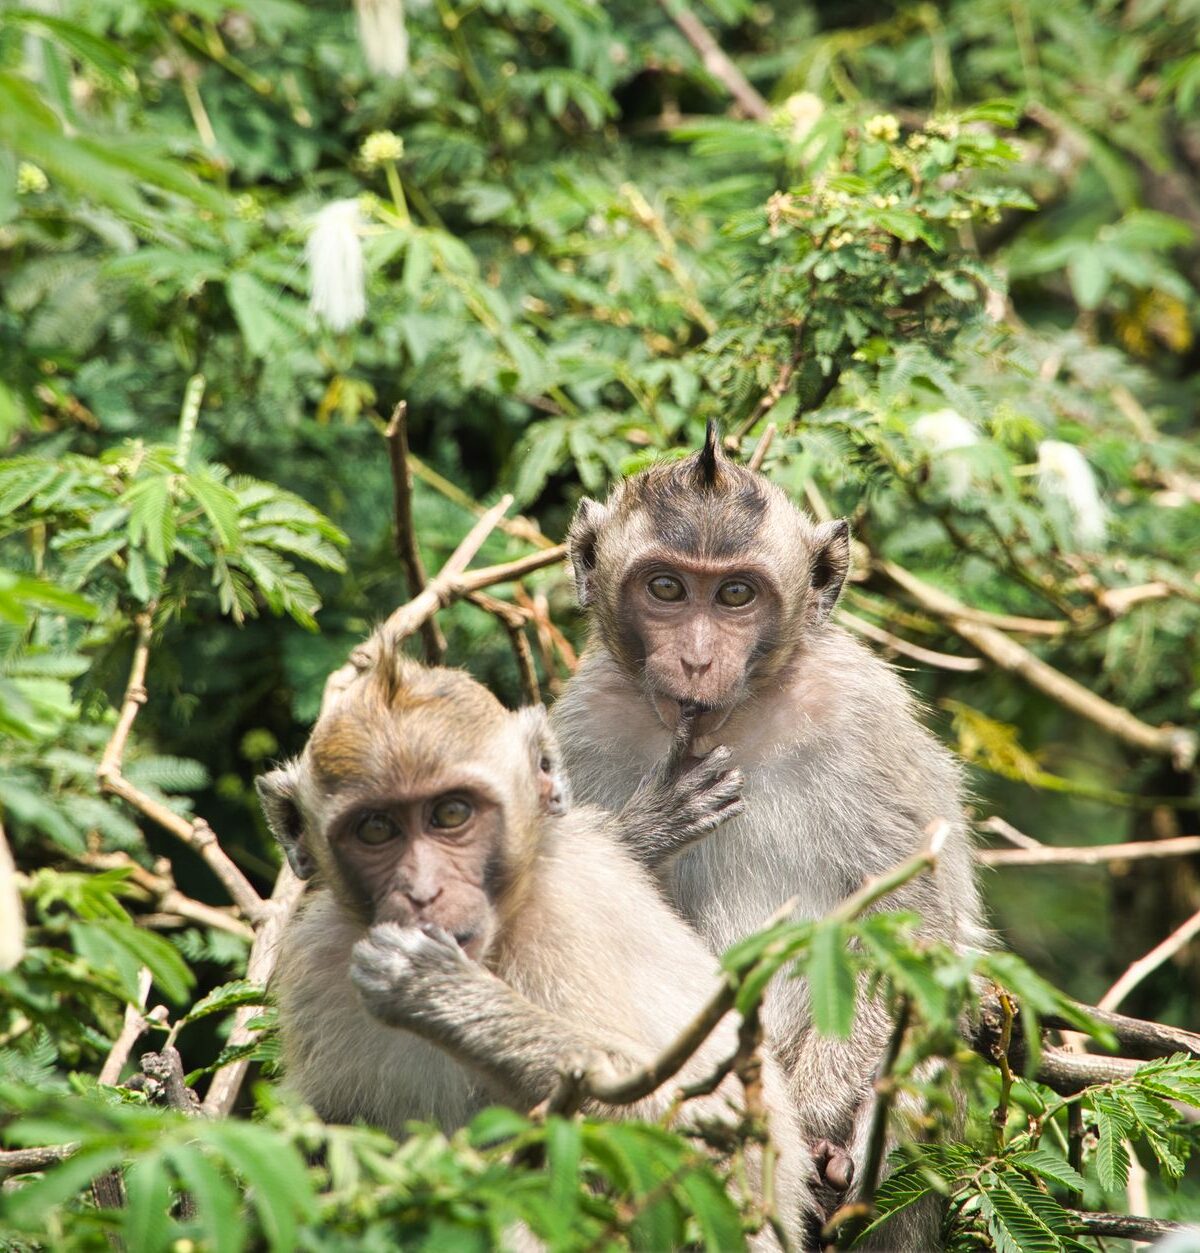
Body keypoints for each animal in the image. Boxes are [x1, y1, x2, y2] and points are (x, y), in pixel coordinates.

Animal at [256, 632, 814, 1248]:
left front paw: (440, 995)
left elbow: (710, 1129)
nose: (423, 892)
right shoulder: (317, 960)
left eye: (451, 813)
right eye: (376, 829)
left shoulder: (565, 923)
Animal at [550, 420, 987, 1243]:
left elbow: (904, 919)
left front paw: (827, 1119)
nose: (696, 657)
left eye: (736, 594)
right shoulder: (582, 727)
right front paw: (653, 825)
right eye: (665, 588)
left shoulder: (859, 714)